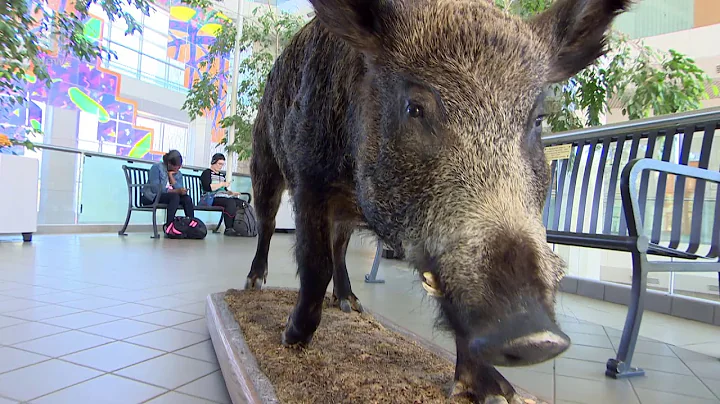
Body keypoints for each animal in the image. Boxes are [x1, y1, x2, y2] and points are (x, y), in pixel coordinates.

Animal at [244, 0, 631, 402]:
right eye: (415, 108)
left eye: (537, 120)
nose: (535, 337)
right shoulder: (309, 180)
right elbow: (314, 265)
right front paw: (291, 339)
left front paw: (500, 394)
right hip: (264, 158)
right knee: (268, 223)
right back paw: (254, 284)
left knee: (339, 246)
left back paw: (352, 305)